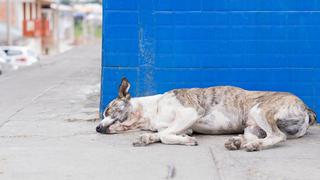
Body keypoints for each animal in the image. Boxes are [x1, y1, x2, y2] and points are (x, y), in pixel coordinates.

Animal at [96, 78, 316, 151]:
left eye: (108, 110)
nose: (97, 128)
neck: (153, 110)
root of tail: (307, 108)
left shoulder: (190, 112)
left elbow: (166, 136)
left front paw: (185, 141)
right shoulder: (185, 126)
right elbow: (162, 133)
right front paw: (147, 137)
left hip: (260, 110)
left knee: (277, 136)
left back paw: (251, 146)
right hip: (252, 126)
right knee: (262, 136)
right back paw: (238, 142)